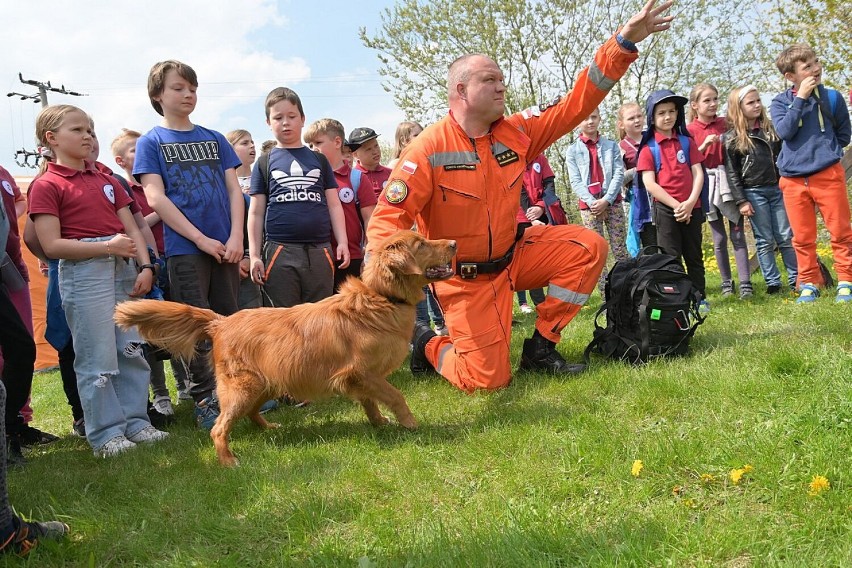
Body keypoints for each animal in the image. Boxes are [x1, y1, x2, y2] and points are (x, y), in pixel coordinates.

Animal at [118, 231, 460, 466]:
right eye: (421, 244)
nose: (455, 243)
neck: (381, 297)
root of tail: (221, 322)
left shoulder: (359, 379)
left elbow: (370, 402)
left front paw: (378, 422)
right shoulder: (363, 372)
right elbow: (395, 396)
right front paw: (411, 424)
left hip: (265, 384)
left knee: (251, 413)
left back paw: (268, 427)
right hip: (242, 388)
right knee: (218, 428)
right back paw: (228, 460)